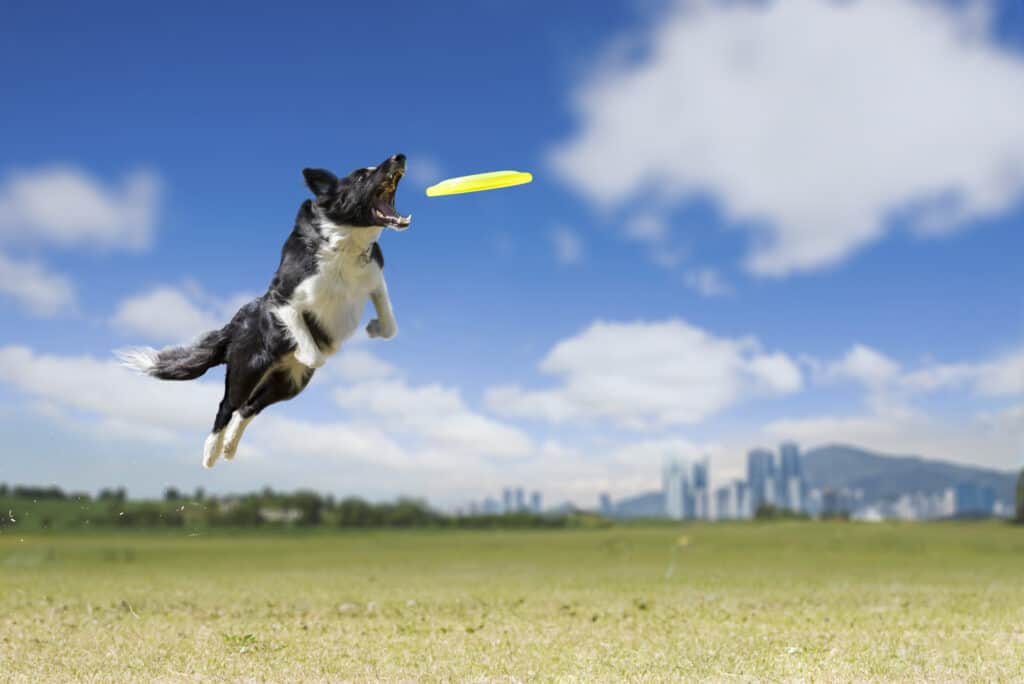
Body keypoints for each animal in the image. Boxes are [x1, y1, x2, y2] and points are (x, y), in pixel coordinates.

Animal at [117, 152, 411, 466]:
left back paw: (229, 447)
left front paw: (374, 328)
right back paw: (211, 452)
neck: (347, 242)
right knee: (228, 405)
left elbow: (390, 325)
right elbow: (314, 353)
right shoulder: (283, 299)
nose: (399, 156)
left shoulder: (374, 279)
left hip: (290, 384)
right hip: (246, 370)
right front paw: (308, 349)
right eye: (361, 176)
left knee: (249, 407)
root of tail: (233, 326)